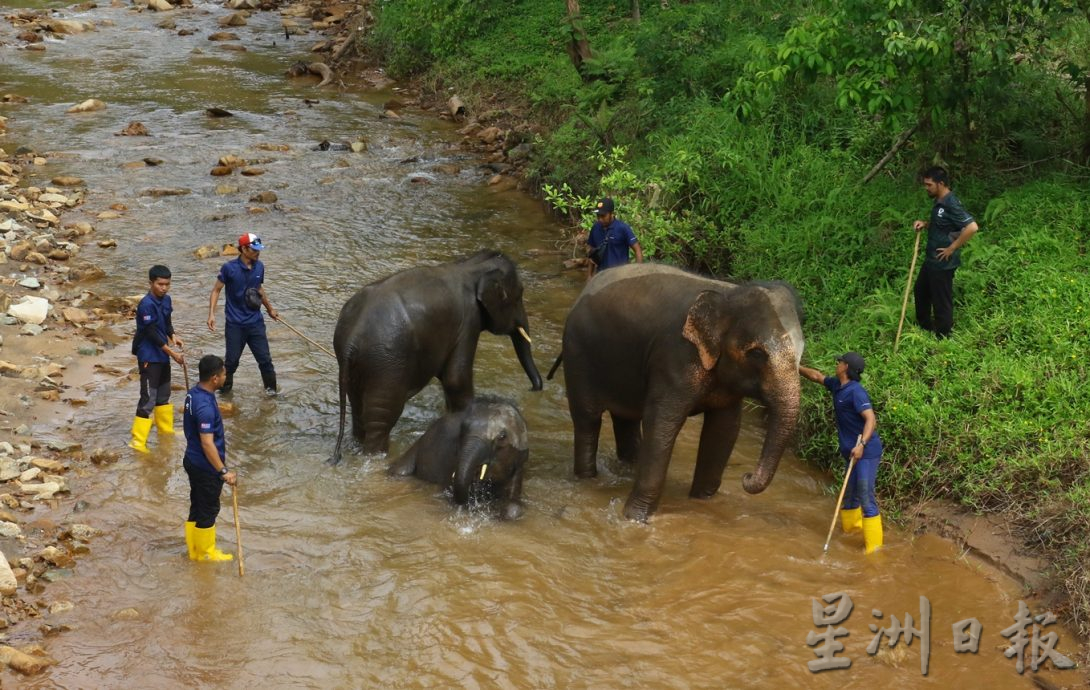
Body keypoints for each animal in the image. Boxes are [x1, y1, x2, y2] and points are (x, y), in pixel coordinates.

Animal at [327, 248, 540, 462]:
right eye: (519, 295)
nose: (533, 389)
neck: (471, 265)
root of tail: (352, 338)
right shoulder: (468, 322)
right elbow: (456, 378)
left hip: (358, 367)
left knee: (358, 411)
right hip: (386, 365)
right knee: (382, 418)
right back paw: (377, 456)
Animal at [558, 263, 806, 521]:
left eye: (802, 352)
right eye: (757, 353)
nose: (746, 477)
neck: (728, 294)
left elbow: (725, 429)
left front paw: (703, 502)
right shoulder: (674, 358)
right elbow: (661, 423)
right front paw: (634, 518)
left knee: (626, 418)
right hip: (577, 353)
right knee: (588, 419)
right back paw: (587, 480)